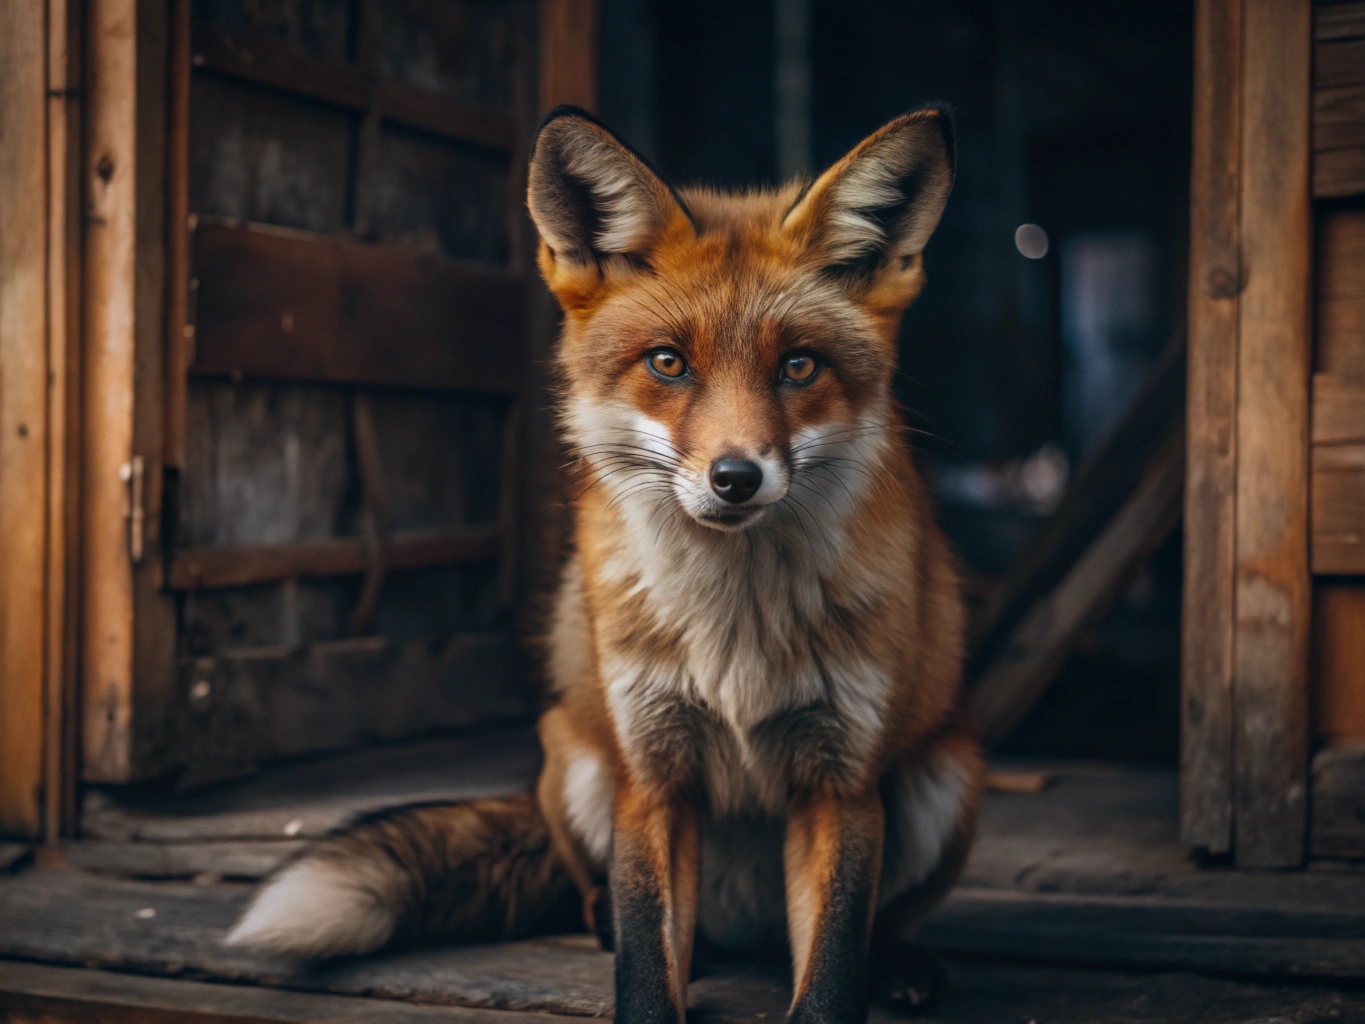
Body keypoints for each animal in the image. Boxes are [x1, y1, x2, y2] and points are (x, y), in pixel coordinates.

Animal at [226, 105, 981, 1023]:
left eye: (797, 366)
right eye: (668, 363)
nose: (735, 478)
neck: (735, 626)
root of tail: (748, 932)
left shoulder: (839, 780)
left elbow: (833, 970)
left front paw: (853, 977)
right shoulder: (651, 774)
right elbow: (648, 968)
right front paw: (637, 961)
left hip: (944, 776)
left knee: (878, 923)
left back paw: (900, 963)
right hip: (578, 758)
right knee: (605, 900)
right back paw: (607, 924)